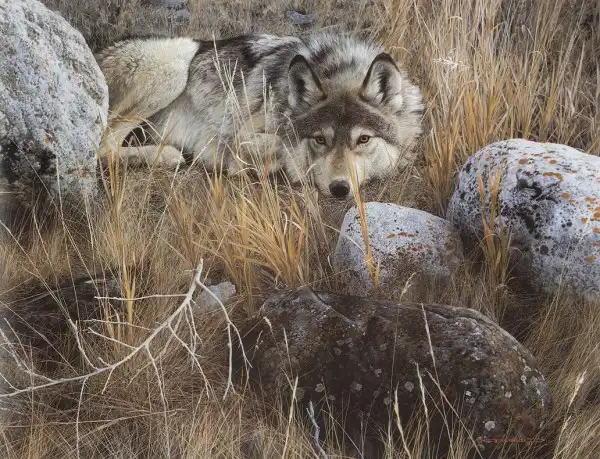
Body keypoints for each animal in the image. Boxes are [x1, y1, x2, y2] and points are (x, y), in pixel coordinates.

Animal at [95, 32, 425, 199]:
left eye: (364, 139)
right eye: (319, 140)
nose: (340, 189)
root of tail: (99, 52)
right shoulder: (238, 138)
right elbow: (283, 147)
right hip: (176, 61)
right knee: (103, 147)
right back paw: (167, 156)